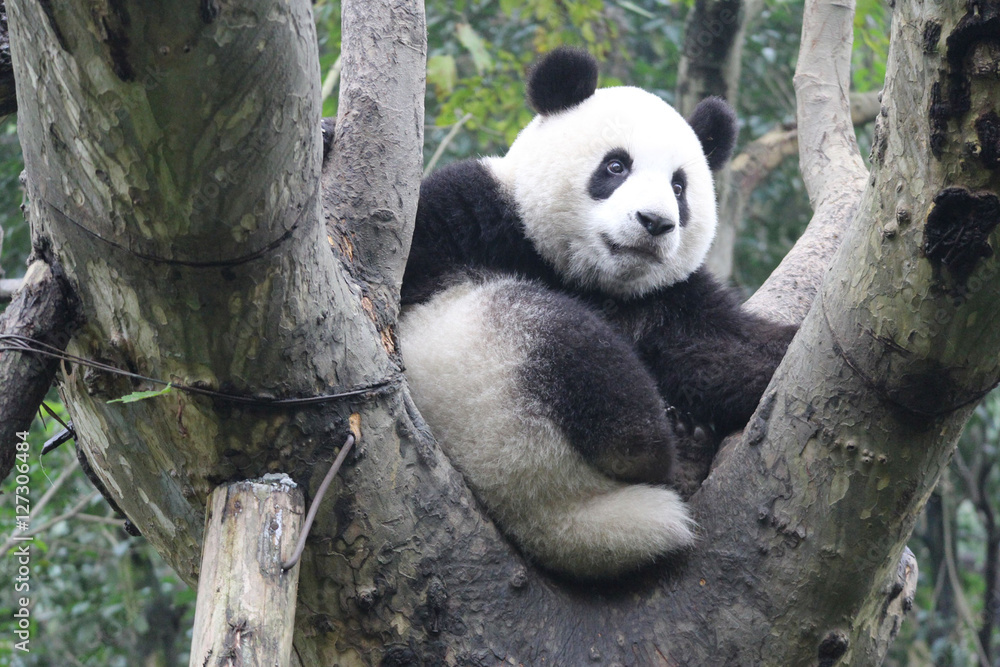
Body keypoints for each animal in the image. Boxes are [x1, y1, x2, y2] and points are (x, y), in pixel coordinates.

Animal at [399, 48, 797, 579]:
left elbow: (721, 350)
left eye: (679, 186)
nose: (655, 222)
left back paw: (688, 447)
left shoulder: (664, 299)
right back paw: (655, 442)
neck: (594, 281)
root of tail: (569, 520)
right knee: (573, 347)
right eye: (615, 166)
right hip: (487, 375)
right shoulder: (473, 209)